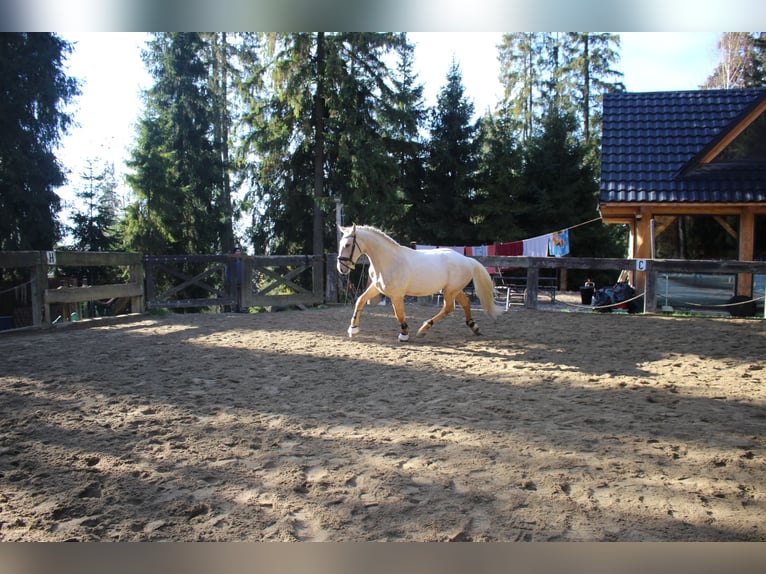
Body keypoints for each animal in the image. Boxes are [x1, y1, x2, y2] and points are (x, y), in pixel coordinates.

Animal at [336, 225, 498, 342]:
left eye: (348, 244)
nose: (341, 269)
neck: (389, 260)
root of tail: (468, 260)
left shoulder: (396, 295)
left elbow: (399, 314)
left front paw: (404, 334)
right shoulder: (376, 287)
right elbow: (360, 301)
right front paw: (353, 329)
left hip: (450, 291)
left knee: (448, 308)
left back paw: (423, 329)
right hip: (454, 290)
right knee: (465, 302)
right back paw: (474, 327)